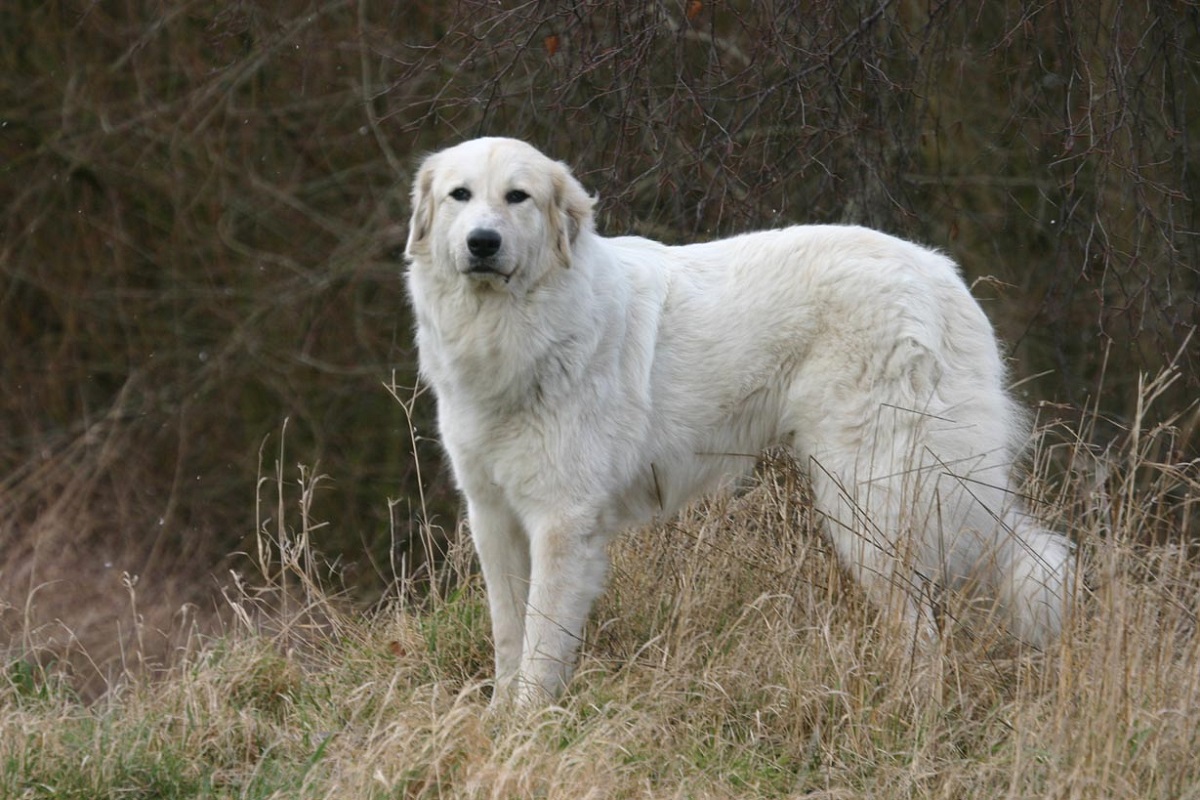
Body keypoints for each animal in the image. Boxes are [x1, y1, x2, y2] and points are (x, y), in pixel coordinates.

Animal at [405, 137, 1080, 705]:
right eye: (460, 196)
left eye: (517, 197)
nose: (483, 243)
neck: (515, 332)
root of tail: (942, 275)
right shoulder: (494, 516)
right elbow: (508, 635)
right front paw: (499, 721)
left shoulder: (562, 522)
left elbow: (542, 643)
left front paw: (528, 726)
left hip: (874, 499)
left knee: (921, 623)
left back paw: (911, 712)